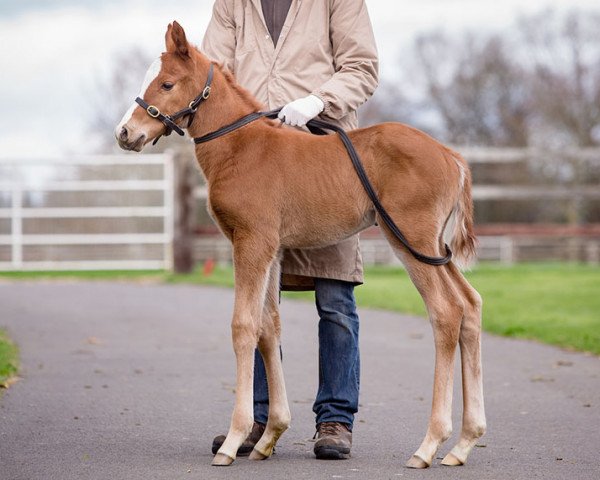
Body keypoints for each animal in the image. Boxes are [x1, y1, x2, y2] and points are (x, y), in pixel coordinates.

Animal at [117, 23, 488, 468]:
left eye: (167, 83)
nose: (125, 133)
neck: (242, 146)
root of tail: (452, 157)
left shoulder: (252, 242)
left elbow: (243, 326)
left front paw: (233, 441)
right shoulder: (272, 250)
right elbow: (268, 327)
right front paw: (267, 436)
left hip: (410, 239)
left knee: (446, 313)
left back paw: (429, 444)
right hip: (433, 248)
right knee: (470, 305)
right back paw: (464, 443)